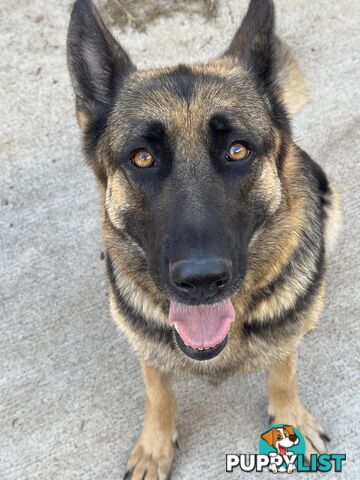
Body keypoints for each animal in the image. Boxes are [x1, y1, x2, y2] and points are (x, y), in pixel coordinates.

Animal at [67, 0, 340, 476]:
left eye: (238, 150)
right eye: (142, 158)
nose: (201, 281)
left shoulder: (284, 339)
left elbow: (283, 372)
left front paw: (290, 418)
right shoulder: (147, 346)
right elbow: (158, 390)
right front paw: (155, 445)